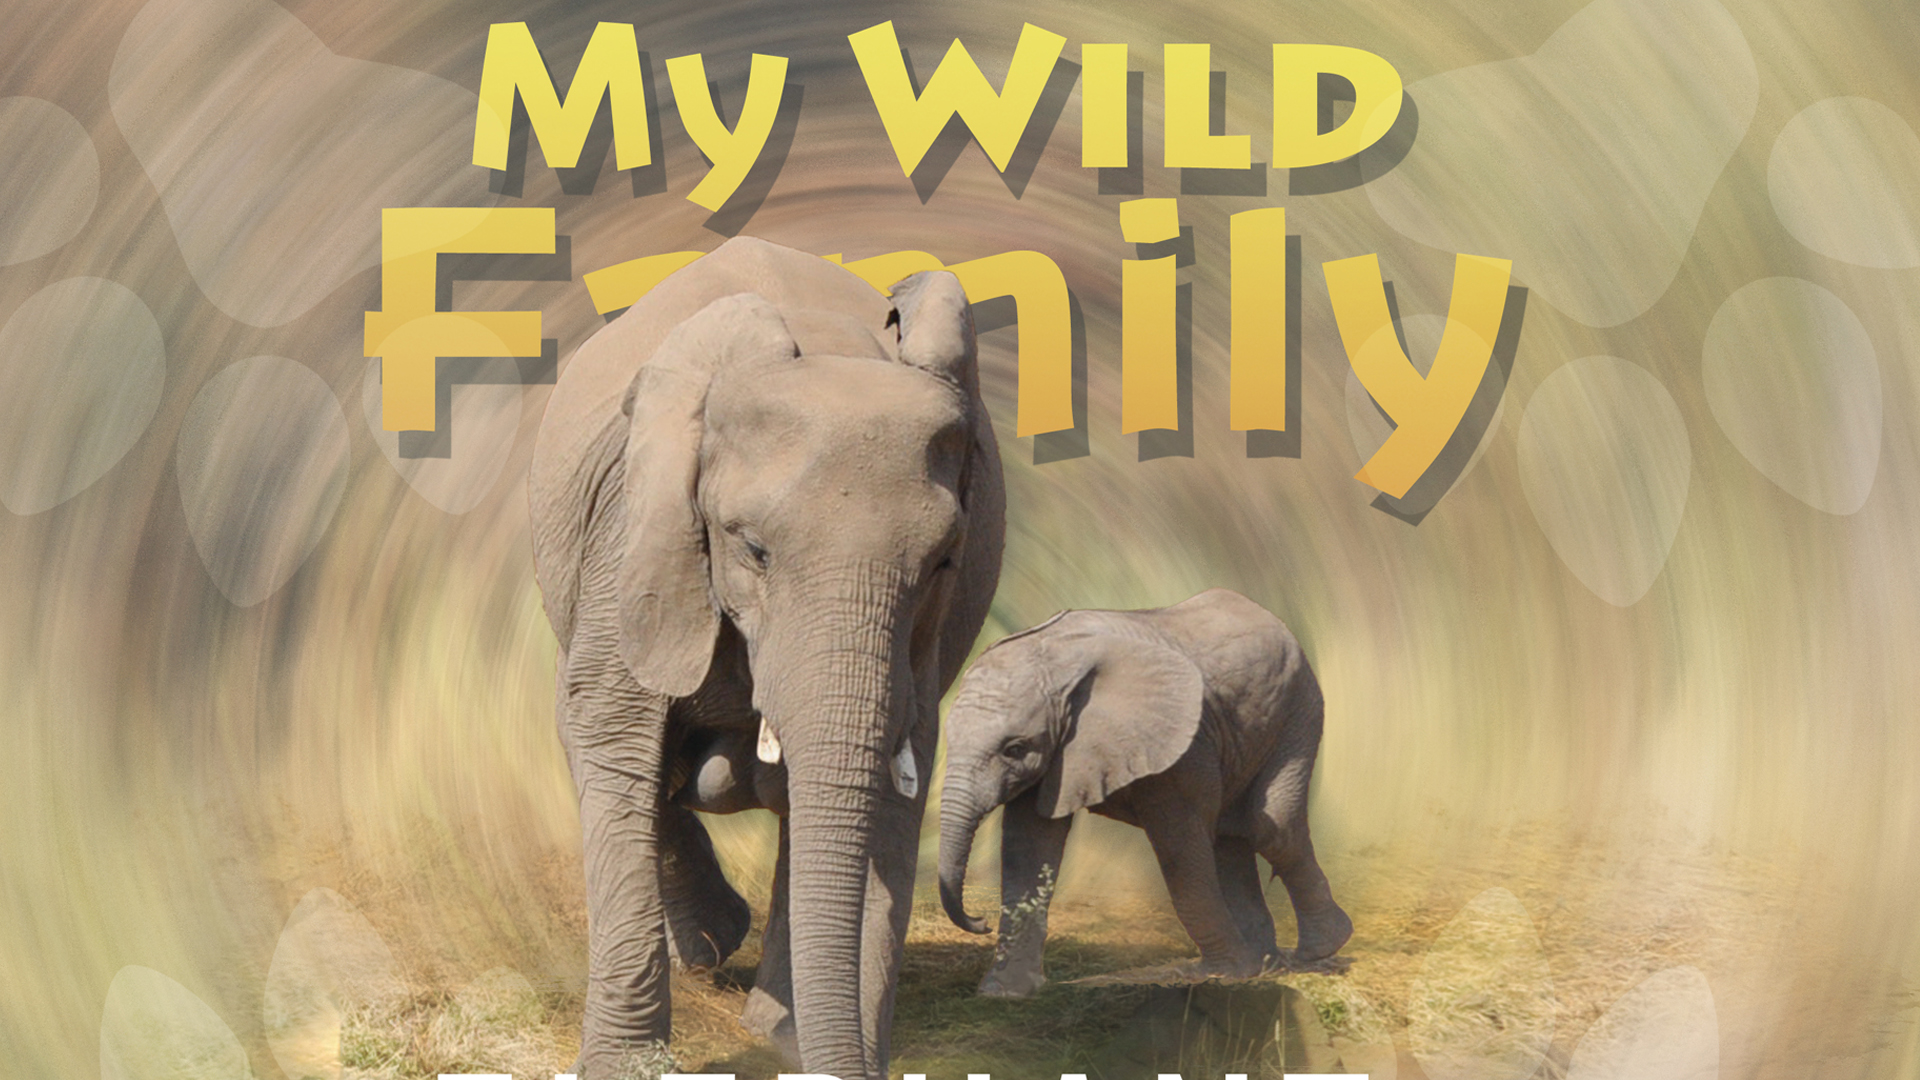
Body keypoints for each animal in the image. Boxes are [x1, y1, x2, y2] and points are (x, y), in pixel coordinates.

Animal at [529, 236, 1005, 1079]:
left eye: (943, 563)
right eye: (753, 548)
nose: (983, 924)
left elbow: (895, 778)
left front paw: (810, 1044)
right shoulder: (635, 531)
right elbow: (611, 731)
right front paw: (625, 1066)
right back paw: (712, 943)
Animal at [936, 588, 1350, 997]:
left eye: (1015, 748)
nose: (981, 921)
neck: (1056, 657)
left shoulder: (1179, 743)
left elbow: (1178, 847)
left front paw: (1221, 973)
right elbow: (1027, 848)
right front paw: (1003, 993)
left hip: (1299, 708)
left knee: (1269, 827)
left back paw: (1318, 949)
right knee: (1230, 836)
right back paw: (1264, 965)